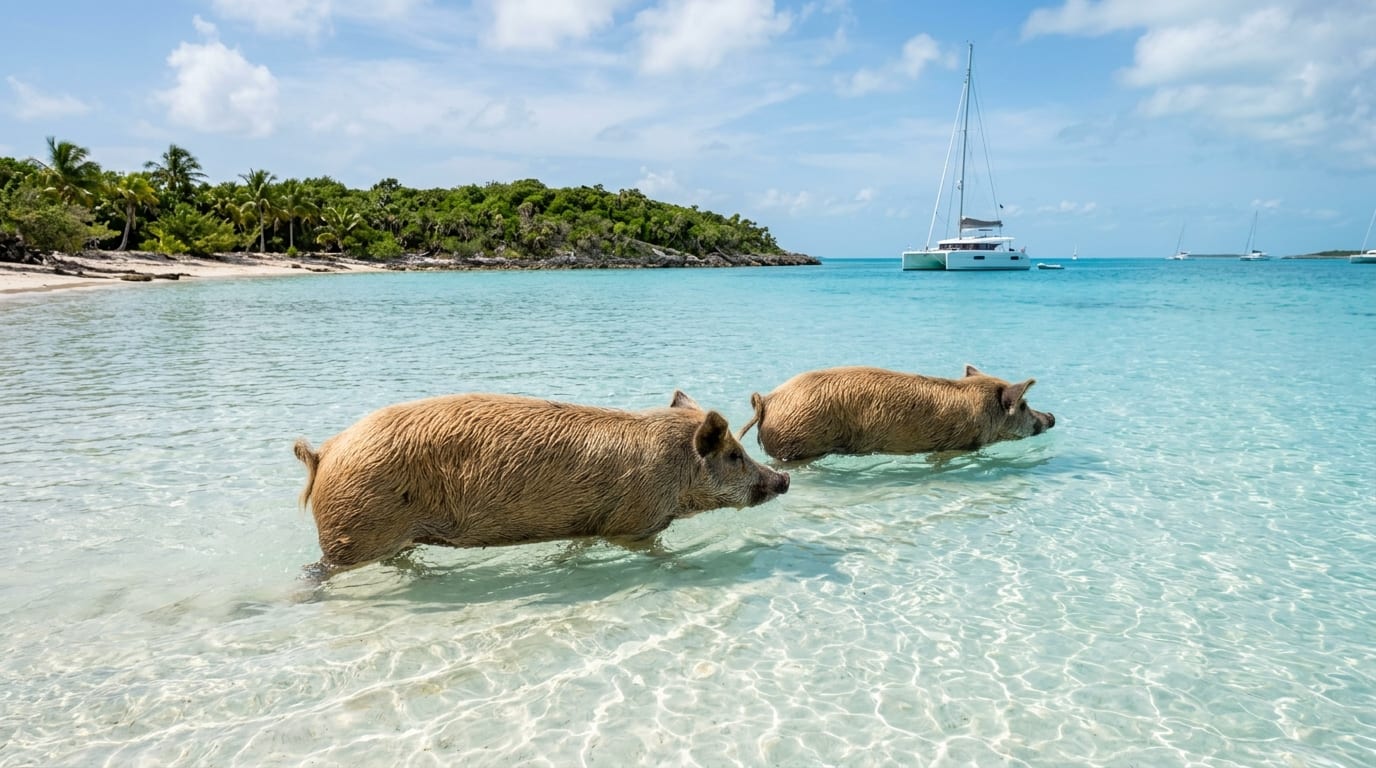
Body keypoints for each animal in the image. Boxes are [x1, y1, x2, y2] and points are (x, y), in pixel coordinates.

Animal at [293, 390, 789, 573]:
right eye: (734, 455)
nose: (782, 478)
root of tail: (324, 453)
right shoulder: (634, 523)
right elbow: (658, 553)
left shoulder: (590, 522)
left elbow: (576, 547)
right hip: (354, 529)